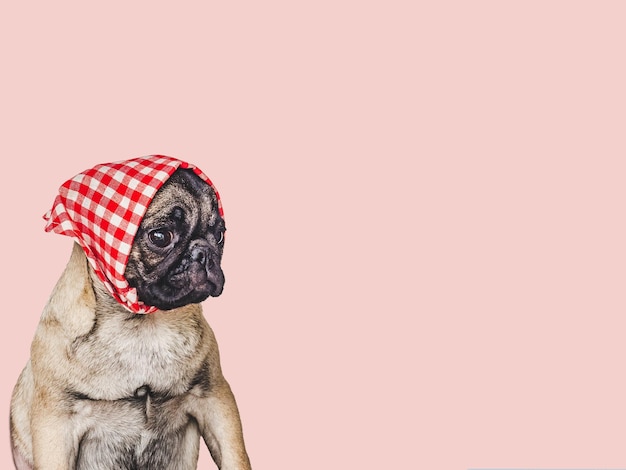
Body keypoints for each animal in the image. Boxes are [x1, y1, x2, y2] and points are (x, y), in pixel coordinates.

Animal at [9, 167, 249, 468]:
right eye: (160, 236)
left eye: (219, 236)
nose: (203, 251)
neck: (138, 324)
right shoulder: (56, 422)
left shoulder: (214, 397)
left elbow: (235, 456)